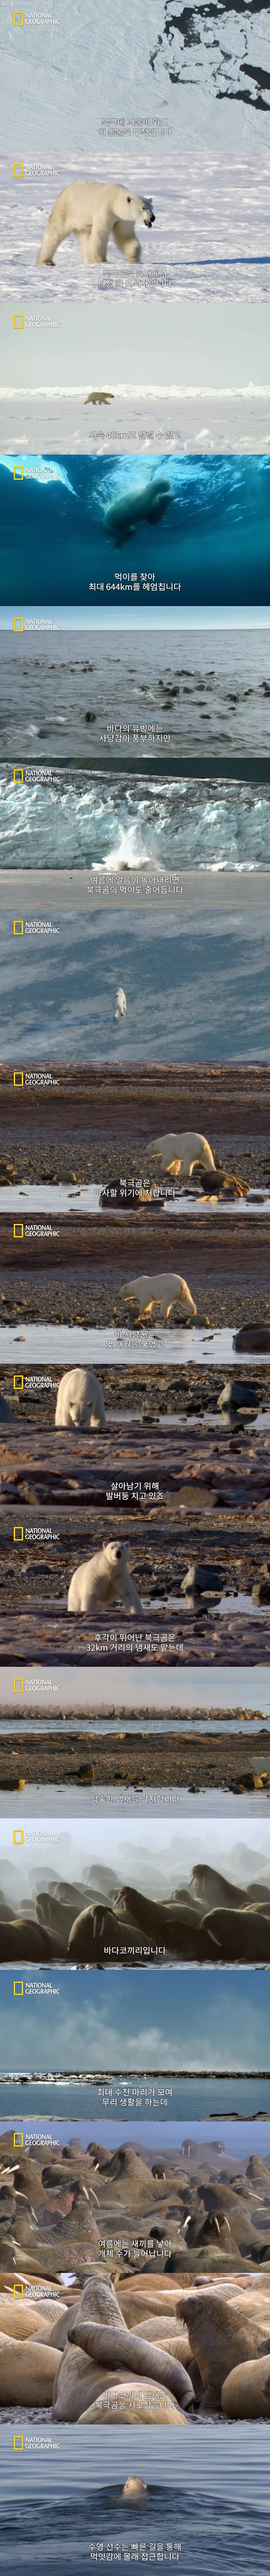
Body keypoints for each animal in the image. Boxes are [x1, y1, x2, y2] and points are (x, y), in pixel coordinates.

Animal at [37, 181, 156, 269]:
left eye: (152, 207)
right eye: (143, 208)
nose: (153, 218)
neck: (115, 200)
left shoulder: (123, 219)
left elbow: (125, 235)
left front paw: (135, 258)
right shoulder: (105, 210)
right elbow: (101, 234)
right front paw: (102, 262)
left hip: (83, 223)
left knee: (85, 238)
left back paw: (88, 260)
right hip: (67, 211)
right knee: (56, 232)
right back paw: (46, 262)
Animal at [55, 1370, 105, 1432]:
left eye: (84, 1420)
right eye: (74, 1420)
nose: (79, 1427)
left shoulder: (98, 1397)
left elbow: (98, 1417)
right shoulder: (69, 1397)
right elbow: (68, 1418)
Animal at [67, 1535, 143, 1618]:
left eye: (122, 1547)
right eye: (112, 1547)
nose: (118, 1553)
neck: (108, 1571)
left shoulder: (120, 1576)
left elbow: (129, 1595)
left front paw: (137, 1612)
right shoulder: (97, 1576)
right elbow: (91, 1594)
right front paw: (88, 1611)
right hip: (76, 1588)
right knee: (75, 1603)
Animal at [121, 1272, 197, 1329]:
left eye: (119, 1291)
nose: (119, 1298)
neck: (135, 1286)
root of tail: (181, 1283)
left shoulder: (143, 1290)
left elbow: (146, 1301)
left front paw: (143, 1312)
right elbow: (149, 1302)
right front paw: (148, 1311)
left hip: (169, 1289)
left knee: (166, 1303)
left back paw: (162, 1315)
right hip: (184, 1291)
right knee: (186, 1300)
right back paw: (188, 1313)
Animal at [150, 1133, 214, 1180]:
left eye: (147, 1148)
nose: (147, 1154)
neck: (162, 1143)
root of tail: (202, 1144)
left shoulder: (168, 1148)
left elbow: (169, 1160)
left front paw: (163, 1170)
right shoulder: (176, 1154)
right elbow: (176, 1163)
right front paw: (173, 1172)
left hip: (191, 1150)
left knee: (188, 1162)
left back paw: (184, 1174)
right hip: (206, 1151)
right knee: (208, 1161)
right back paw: (212, 1172)